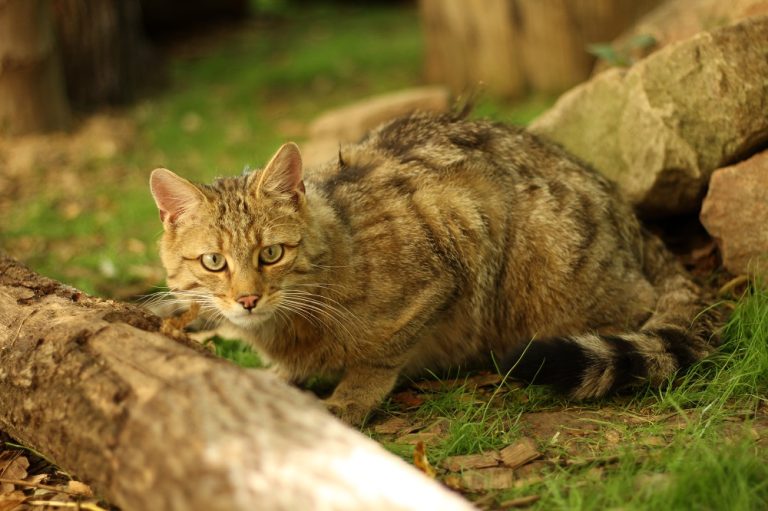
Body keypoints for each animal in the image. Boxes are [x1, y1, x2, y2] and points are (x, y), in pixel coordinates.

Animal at [152, 112, 720, 424]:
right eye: (214, 262)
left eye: (271, 254)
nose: (248, 299)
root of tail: (631, 216)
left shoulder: (454, 227)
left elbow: (379, 355)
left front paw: (349, 397)